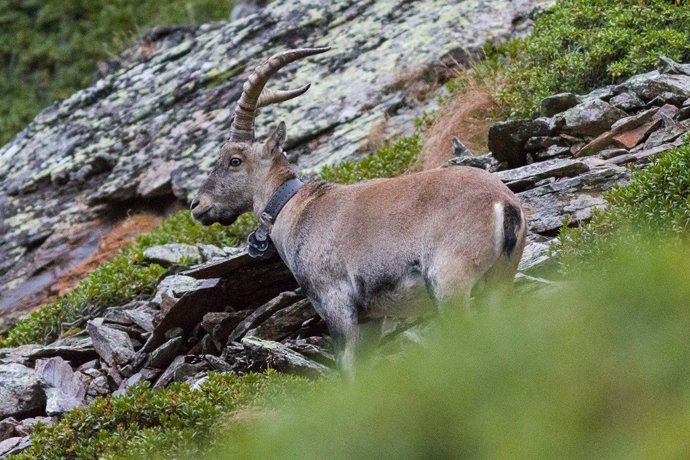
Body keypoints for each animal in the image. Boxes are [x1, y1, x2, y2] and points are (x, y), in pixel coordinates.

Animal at [191, 48, 527, 375]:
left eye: (235, 160)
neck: (298, 208)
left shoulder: (337, 304)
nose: (198, 206)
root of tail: (505, 205)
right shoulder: (371, 318)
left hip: (449, 283)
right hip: (499, 282)